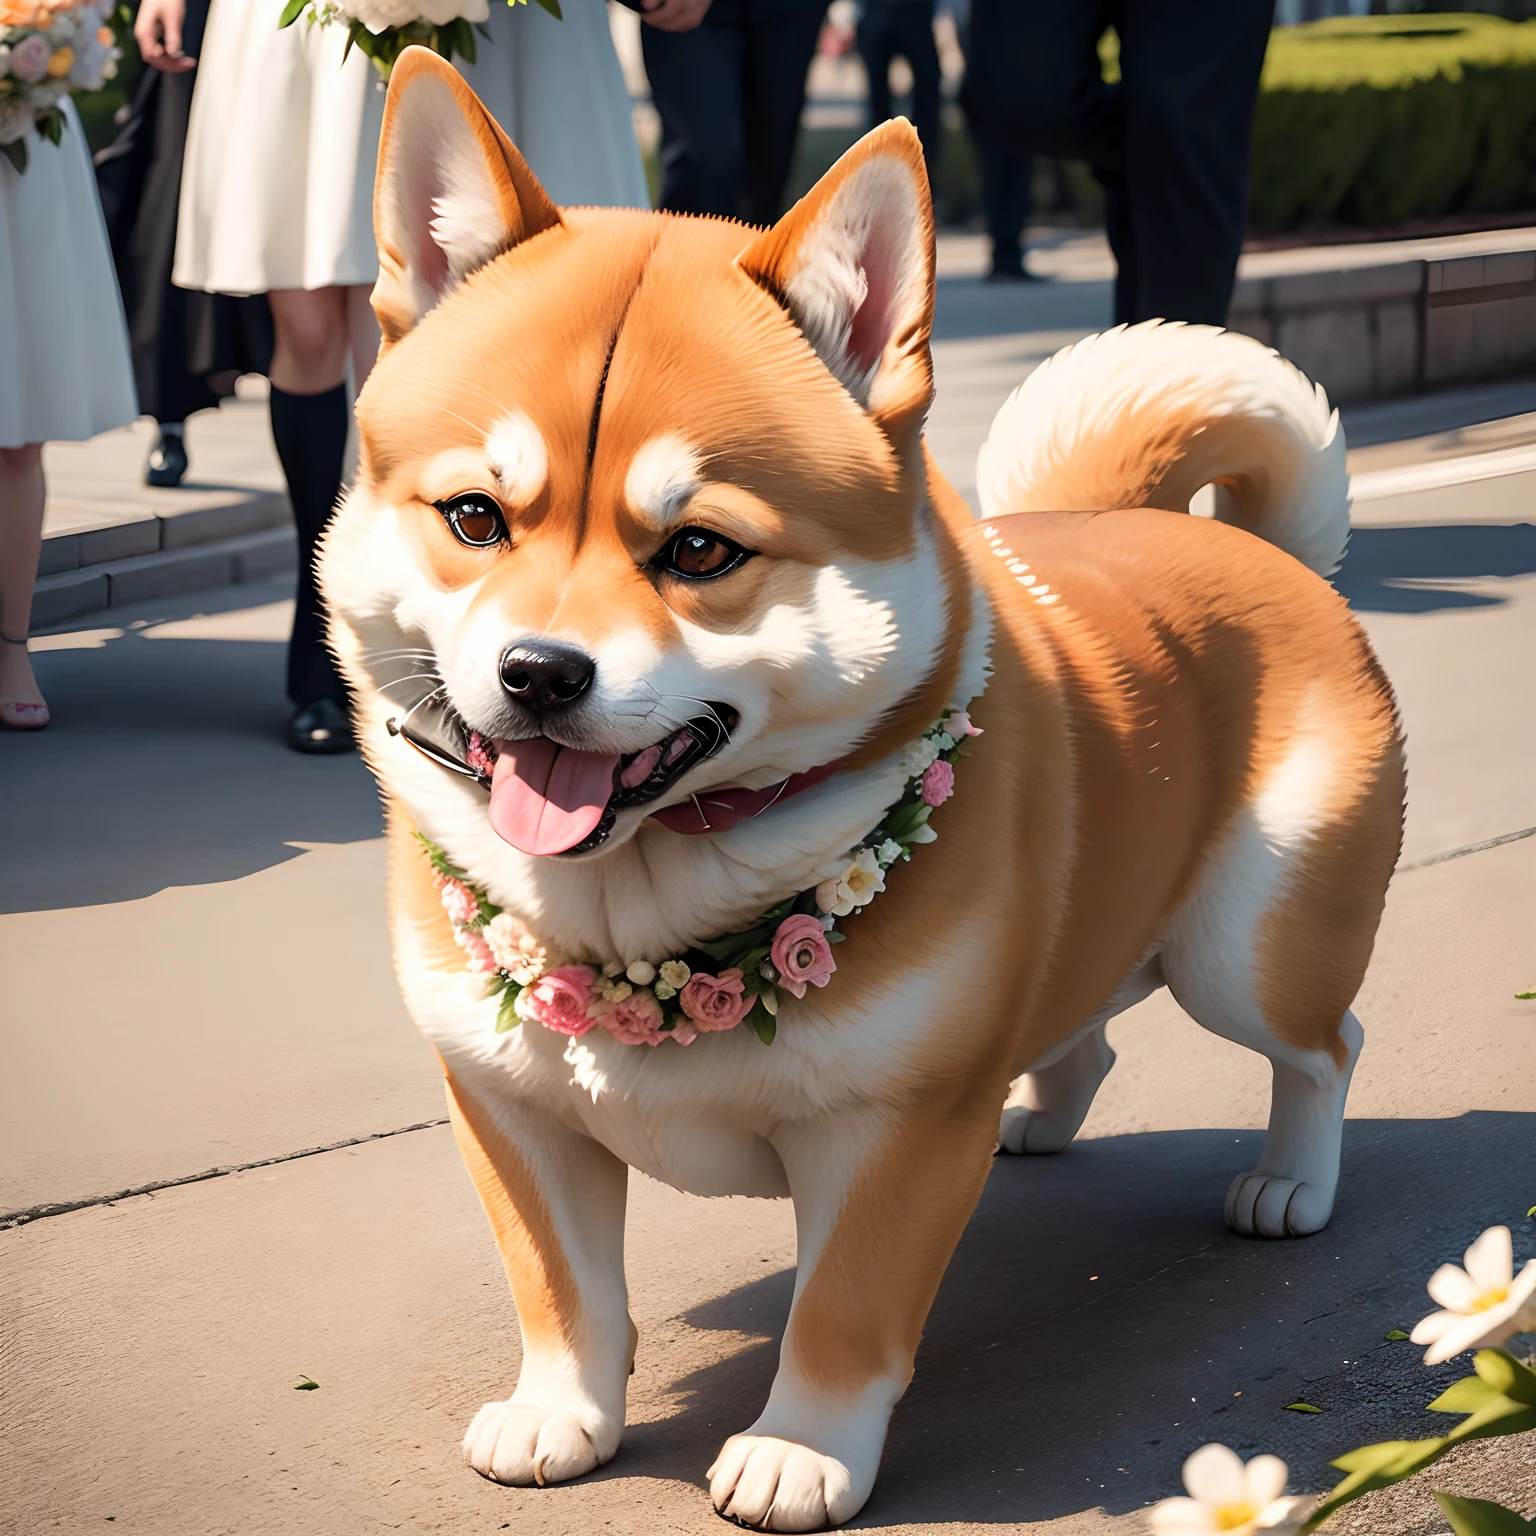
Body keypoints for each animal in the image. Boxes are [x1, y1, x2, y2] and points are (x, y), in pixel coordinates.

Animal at [321, 51, 1406, 1536]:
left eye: (699, 550)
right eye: (476, 518)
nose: (538, 673)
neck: (635, 915)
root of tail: (1255, 550)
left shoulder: (899, 1129)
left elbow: (841, 1312)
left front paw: (801, 1452)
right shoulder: (506, 1102)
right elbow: (560, 1290)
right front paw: (562, 1413)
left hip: (1244, 950)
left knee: (1324, 1045)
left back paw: (1292, 1178)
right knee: (1087, 1027)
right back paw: (1043, 1116)